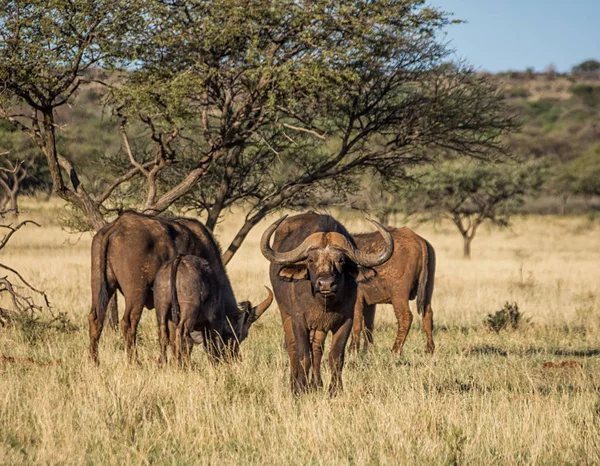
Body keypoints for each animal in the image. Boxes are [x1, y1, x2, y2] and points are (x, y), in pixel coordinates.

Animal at [89, 210, 237, 364]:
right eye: (234, 335)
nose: (233, 357)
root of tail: (118, 225)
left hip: (100, 284)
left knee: (95, 318)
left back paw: (94, 360)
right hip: (137, 292)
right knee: (129, 322)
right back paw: (135, 361)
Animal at [262, 213, 394, 396]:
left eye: (341, 260)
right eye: (310, 260)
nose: (325, 284)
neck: (323, 303)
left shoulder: (346, 321)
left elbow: (336, 356)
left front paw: (335, 389)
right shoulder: (299, 321)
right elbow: (304, 355)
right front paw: (301, 388)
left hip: (320, 327)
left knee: (317, 348)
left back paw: (316, 384)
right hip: (285, 314)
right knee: (293, 347)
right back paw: (294, 384)